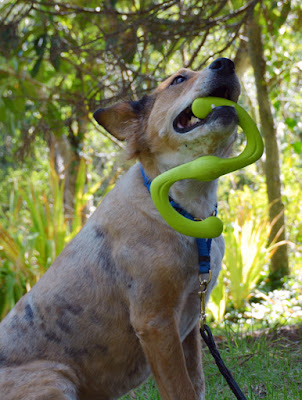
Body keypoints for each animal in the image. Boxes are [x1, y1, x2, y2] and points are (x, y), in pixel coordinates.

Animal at [0, 57, 241, 400]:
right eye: (178, 79)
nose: (226, 63)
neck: (182, 209)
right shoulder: (155, 322)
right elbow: (181, 389)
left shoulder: (190, 326)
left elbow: (196, 385)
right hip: (56, 379)